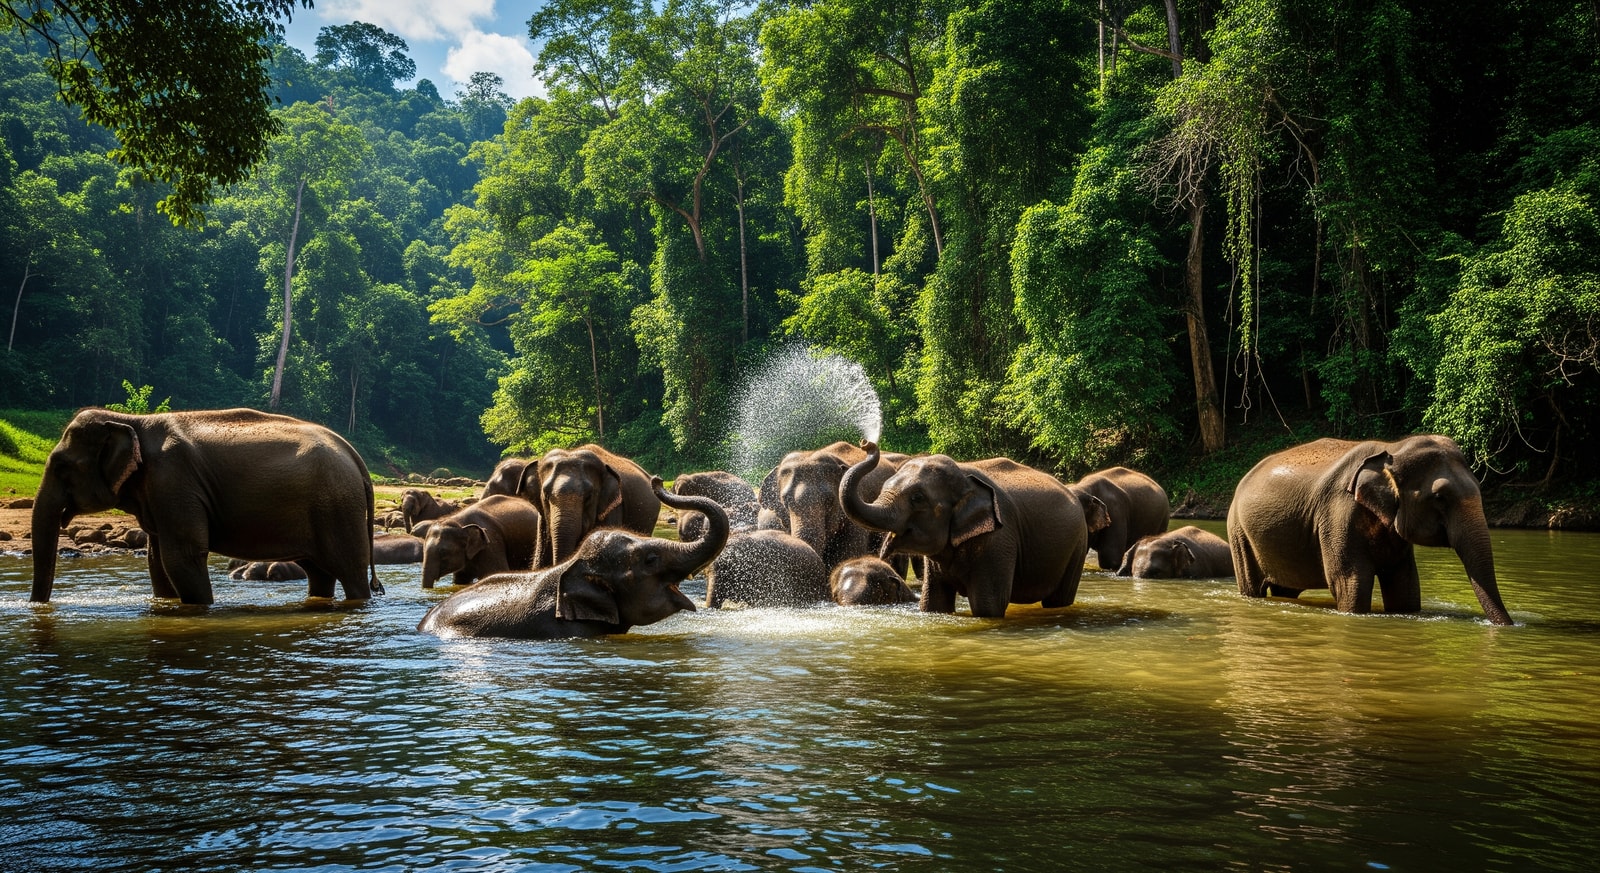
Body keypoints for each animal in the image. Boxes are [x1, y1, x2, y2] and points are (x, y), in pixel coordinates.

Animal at [31, 408, 379, 605]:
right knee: (319, 572)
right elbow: (157, 561)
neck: (133, 422)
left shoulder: (174, 480)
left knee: (350, 571)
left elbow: (181, 556)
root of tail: (355, 456)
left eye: (61, 467)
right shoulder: (160, 491)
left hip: (338, 507)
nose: (39, 607)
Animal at [840, 442, 1090, 618]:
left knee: (1059, 599)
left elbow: (988, 605)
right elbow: (934, 602)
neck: (965, 480)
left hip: (1077, 546)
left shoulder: (998, 539)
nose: (866, 443)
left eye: (917, 498)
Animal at [1227, 435, 1513, 624]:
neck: (1392, 449)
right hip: (1238, 533)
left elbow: (1404, 584)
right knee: (1253, 587)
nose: (1510, 625)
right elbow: (1350, 581)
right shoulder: (1337, 513)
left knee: (1286, 588)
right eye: (1440, 497)